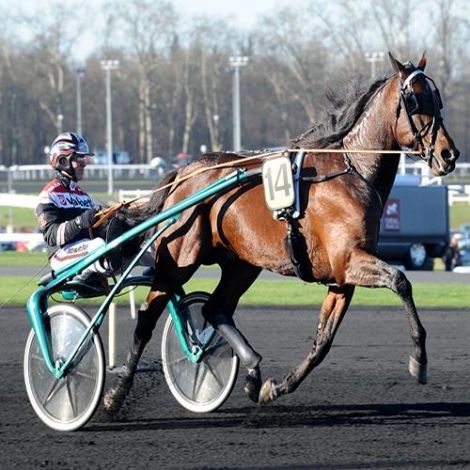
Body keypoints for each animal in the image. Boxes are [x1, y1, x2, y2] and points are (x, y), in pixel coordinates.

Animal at [103, 51, 458, 412]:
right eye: (415, 100)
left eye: (438, 99)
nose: (449, 154)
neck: (353, 170)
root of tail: (186, 171)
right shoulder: (350, 260)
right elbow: (401, 281)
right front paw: (419, 360)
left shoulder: (341, 277)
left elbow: (323, 341)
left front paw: (276, 386)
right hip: (179, 259)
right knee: (148, 316)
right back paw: (117, 392)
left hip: (242, 263)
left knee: (214, 308)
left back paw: (252, 369)